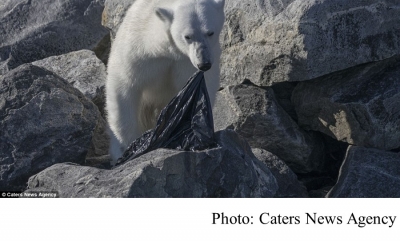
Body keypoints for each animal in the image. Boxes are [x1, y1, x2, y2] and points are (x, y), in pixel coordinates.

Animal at [106, 0, 225, 162]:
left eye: (210, 32)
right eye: (188, 36)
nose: (204, 63)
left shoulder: (186, 63)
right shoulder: (137, 52)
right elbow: (124, 87)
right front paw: (127, 146)